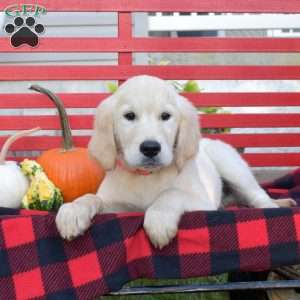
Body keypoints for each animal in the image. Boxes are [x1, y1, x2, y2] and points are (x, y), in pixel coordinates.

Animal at [55, 75, 294, 248]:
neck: (147, 176)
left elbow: (171, 193)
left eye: (165, 116)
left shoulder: (203, 202)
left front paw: (159, 220)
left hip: (230, 164)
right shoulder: (117, 206)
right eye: (129, 116)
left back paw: (275, 206)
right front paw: (72, 212)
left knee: (258, 196)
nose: (150, 148)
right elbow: (91, 197)